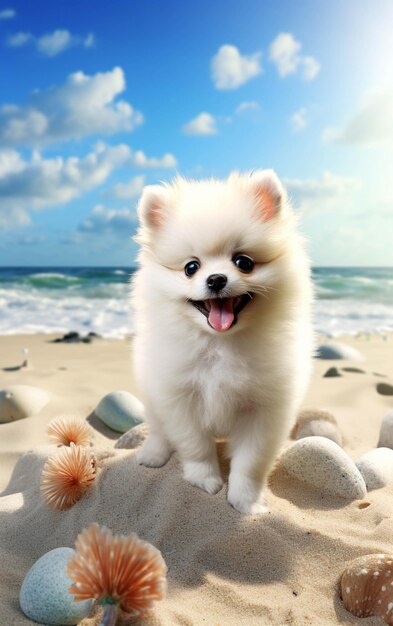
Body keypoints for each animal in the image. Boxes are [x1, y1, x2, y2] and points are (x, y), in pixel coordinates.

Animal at [131, 169, 312, 512]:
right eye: (191, 267)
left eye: (243, 262)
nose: (216, 279)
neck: (219, 345)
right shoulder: (180, 398)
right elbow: (195, 445)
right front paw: (205, 480)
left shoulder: (264, 409)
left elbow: (251, 461)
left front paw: (246, 501)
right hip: (150, 389)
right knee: (158, 428)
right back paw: (153, 455)